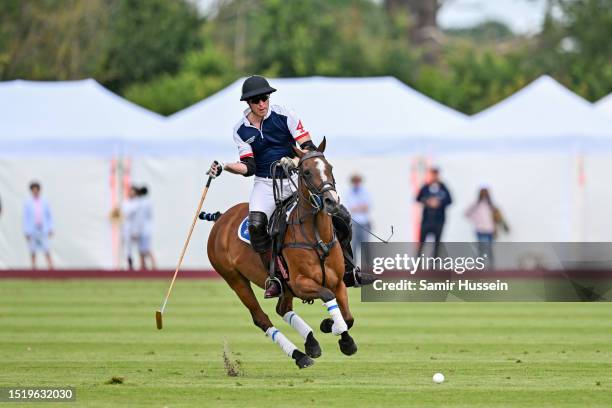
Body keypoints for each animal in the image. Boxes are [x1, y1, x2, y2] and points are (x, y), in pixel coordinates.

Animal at [208, 138, 356, 370]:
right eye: (306, 172)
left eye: (330, 167)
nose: (331, 201)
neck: (316, 235)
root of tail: (221, 218)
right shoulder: (300, 283)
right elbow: (327, 295)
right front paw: (339, 334)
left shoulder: (338, 282)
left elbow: (348, 317)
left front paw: (331, 326)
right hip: (235, 279)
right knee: (261, 318)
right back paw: (300, 355)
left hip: (284, 288)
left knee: (282, 308)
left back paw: (311, 343)